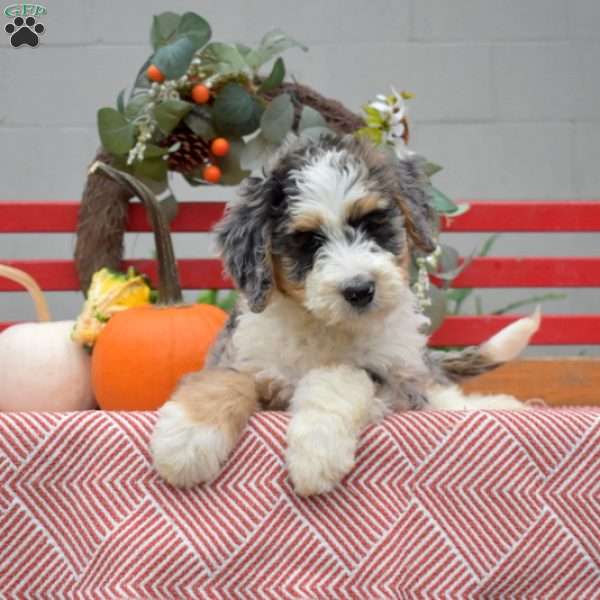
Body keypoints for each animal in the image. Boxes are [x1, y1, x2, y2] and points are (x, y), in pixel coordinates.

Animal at [149, 135, 540, 496]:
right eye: (309, 241)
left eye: (372, 223)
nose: (359, 289)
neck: (326, 326)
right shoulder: (241, 353)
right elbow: (224, 380)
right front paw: (185, 440)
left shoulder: (395, 384)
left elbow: (339, 376)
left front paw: (316, 451)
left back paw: (502, 405)